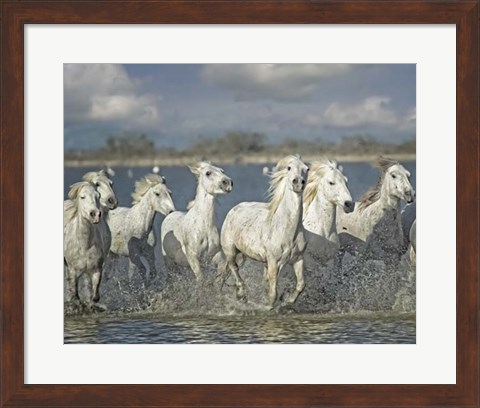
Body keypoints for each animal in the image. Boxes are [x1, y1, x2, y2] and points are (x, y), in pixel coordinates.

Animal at [220, 155, 308, 308]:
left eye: (306, 169)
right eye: (289, 168)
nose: (298, 183)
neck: (288, 230)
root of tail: (233, 210)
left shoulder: (298, 259)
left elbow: (301, 284)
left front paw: (288, 299)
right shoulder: (273, 261)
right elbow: (272, 293)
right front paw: (267, 306)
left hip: (242, 254)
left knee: (229, 270)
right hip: (230, 250)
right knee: (233, 267)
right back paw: (241, 294)